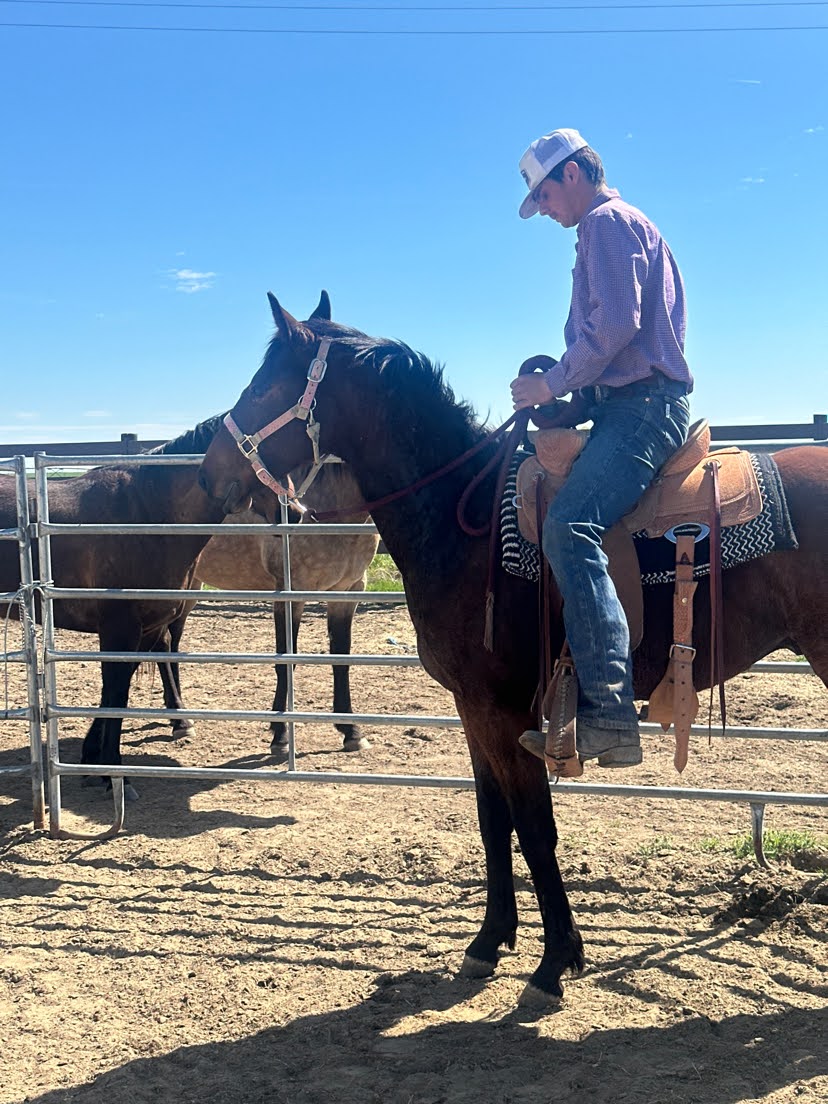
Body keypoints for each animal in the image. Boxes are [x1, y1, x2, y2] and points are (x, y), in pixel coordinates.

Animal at [197, 292, 828, 1008]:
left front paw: (555, 963)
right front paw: (489, 942)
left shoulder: (508, 710)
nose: (209, 472)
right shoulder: (475, 711)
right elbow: (493, 820)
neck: (461, 519)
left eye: (263, 386)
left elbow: (534, 826)